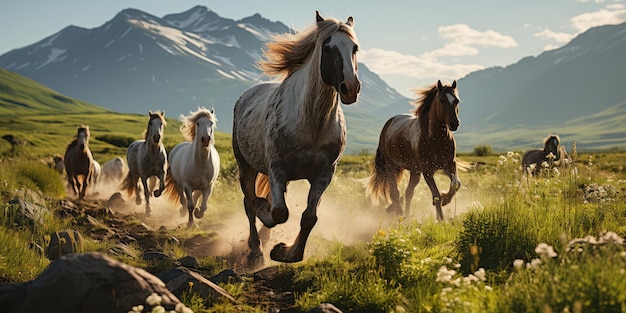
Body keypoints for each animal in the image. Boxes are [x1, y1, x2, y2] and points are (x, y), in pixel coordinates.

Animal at [364, 79, 460, 218]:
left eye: (456, 100)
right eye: (441, 100)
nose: (455, 124)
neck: (436, 139)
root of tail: (388, 124)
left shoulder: (450, 165)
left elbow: (456, 184)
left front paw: (446, 199)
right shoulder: (427, 171)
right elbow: (436, 195)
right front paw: (441, 218)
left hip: (414, 171)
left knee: (409, 192)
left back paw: (405, 215)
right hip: (391, 166)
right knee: (394, 191)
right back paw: (398, 213)